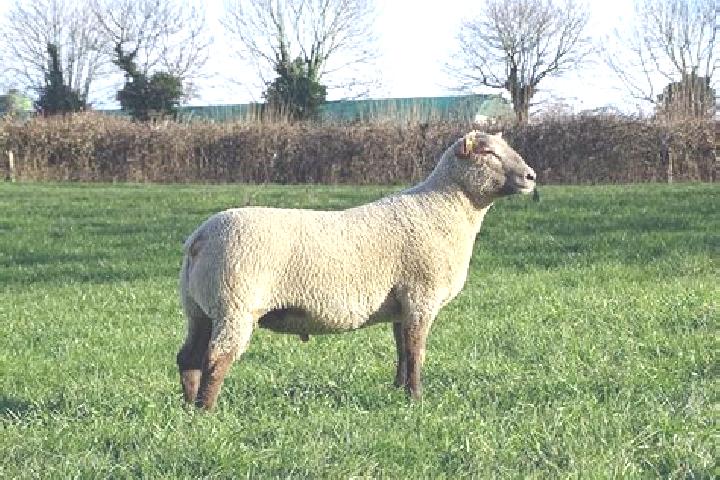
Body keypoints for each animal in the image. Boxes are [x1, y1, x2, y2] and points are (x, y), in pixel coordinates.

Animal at [177, 131, 536, 409]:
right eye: (488, 152)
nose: (532, 177)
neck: (444, 209)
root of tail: (199, 238)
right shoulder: (421, 296)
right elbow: (416, 351)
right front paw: (416, 400)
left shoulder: (401, 303)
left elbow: (402, 349)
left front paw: (399, 392)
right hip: (235, 304)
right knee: (216, 359)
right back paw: (208, 411)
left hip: (200, 309)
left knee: (188, 359)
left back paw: (190, 410)